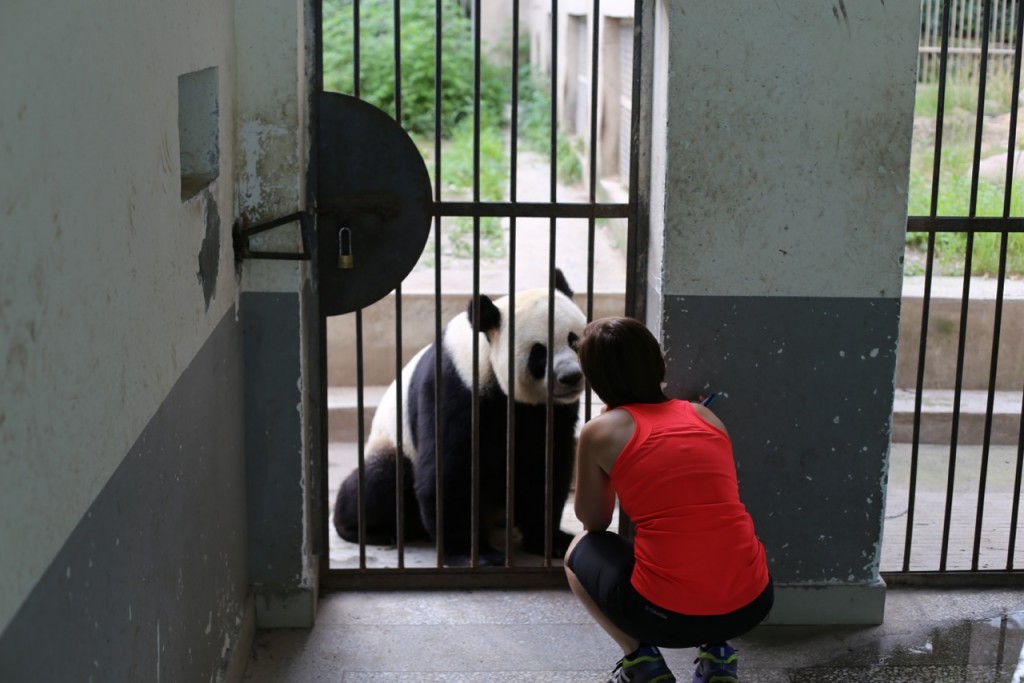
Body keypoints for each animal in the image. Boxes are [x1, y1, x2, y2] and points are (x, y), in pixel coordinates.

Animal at [335, 270, 589, 565]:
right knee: (381, 483)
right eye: (539, 352)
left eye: (573, 339)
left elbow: (545, 465)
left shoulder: (551, 411)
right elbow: (450, 470)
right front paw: (476, 555)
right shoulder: (456, 387)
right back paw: (365, 530)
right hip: (393, 443)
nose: (571, 377)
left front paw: (553, 541)